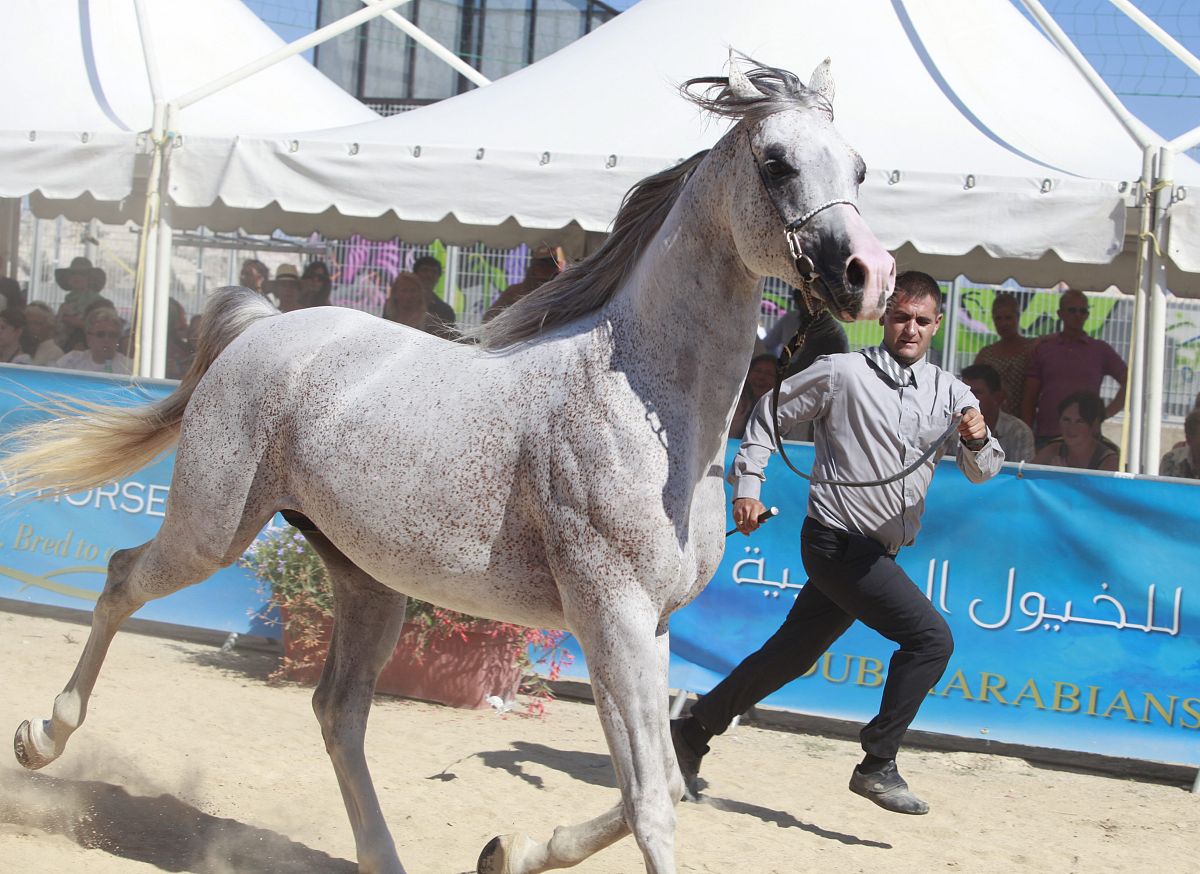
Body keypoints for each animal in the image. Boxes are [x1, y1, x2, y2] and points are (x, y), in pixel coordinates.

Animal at [7, 58, 893, 874]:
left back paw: (383, 857)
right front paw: (518, 847)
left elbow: (665, 784)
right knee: (122, 578)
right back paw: (40, 738)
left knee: (337, 710)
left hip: (368, 580)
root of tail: (264, 325)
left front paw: (510, 849)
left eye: (858, 168)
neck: (651, 408)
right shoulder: (612, 617)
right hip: (211, 531)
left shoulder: (654, 623)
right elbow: (651, 802)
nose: (869, 277)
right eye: (777, 162)